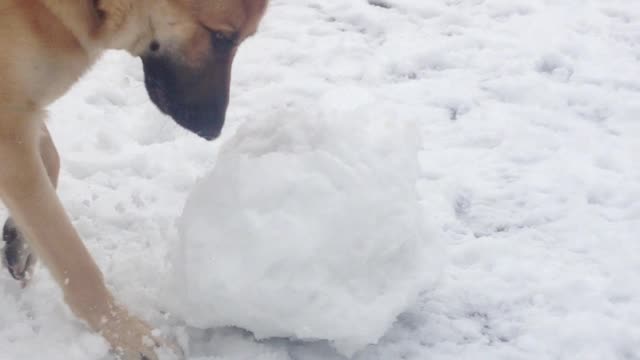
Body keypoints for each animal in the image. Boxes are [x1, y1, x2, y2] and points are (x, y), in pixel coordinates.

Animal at [0, 1, 268, 358]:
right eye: (222, 37)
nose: (214, 129)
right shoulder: (11, 127)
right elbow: (74, 261)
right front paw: (130, 334)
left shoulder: (21, 115)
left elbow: (52, 160)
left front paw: (21, 243)